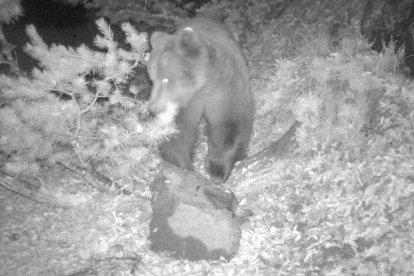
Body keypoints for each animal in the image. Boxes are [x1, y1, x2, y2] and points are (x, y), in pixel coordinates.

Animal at [147, 15, 254, 181]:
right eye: (152, 78)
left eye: (165, 79)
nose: (153, 107)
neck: (201, 88)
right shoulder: (185, 106)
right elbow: (178, 131)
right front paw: (185, 165)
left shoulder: (225, 89)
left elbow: (231, 122)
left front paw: (217, 168)